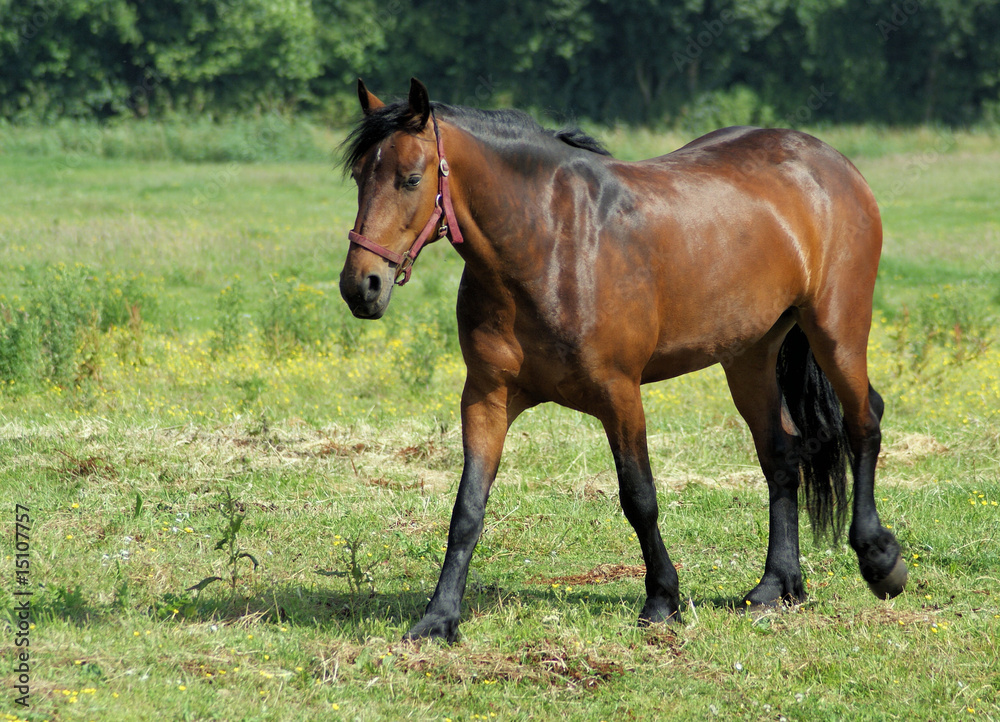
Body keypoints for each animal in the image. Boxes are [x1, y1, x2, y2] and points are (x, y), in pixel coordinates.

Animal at [338, 79, 908, 640]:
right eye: (359, 176)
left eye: (412, 179)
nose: (361, 286)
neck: (549, 246)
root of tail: (830, 161)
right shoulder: (486, 398)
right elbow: (467, 509)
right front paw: (439, 618)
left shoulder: (619, 395)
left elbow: (639, 497)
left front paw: (661, 601)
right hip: (749, 356)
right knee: (782, 455)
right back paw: (776, 586)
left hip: (836, 331)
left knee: (864, 421)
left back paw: (879, 559)